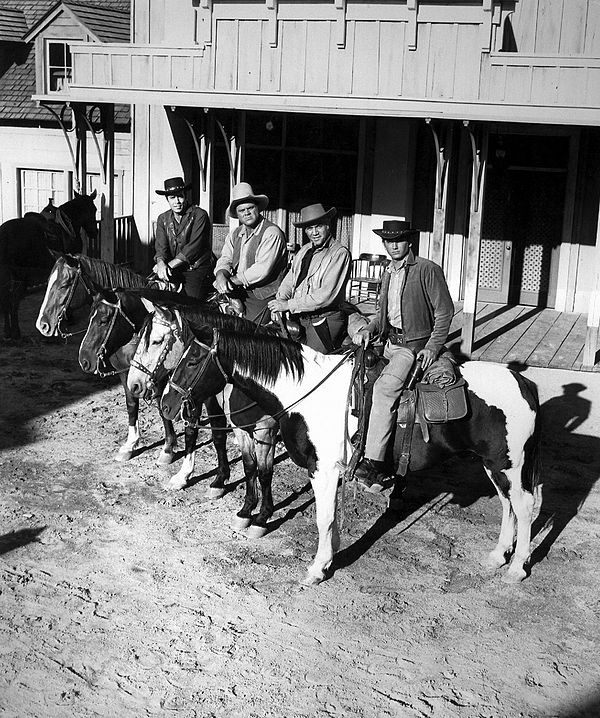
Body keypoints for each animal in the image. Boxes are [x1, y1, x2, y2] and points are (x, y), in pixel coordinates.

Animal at [0, 193, 97, 342]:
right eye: (93, 210)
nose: (94, 232)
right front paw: (68, 316)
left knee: (6, 300)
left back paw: (8, 332)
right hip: (19, 275)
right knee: (13, 300)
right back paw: (15, 332)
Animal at [125, 296, 278, 528]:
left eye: (157, 341)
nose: (134, 384)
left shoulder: (265, 430)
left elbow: (263, 470)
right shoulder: (222, 411)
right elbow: (222, 441)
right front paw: (219, 482)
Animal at [132, 318, 544, 588]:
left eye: (190, 360)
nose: (165, 403)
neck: (306, 392)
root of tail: (522, 380)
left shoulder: (323, 470)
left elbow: (323, 518)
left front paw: (318, 567)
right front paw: (328, 556)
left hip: (509, 463)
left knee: (523, 506)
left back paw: (517, 567)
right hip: (495, 465)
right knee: (507, 503)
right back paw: (498, 555)